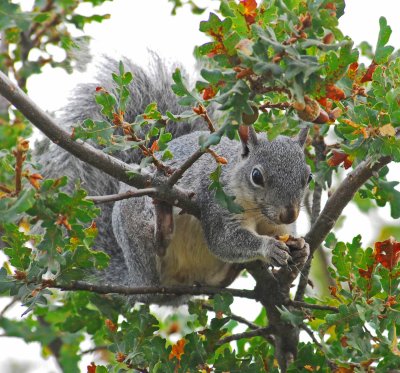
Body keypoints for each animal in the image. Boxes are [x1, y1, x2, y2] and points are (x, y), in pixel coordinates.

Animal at [36, 57, 310, 302]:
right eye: (256, 176)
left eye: (308, 177)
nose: (289, 214)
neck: (257, 211)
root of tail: (135, 281)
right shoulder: (216, 202)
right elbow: (224, 240)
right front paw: (268, 247)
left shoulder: (277, 227)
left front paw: (302, 248)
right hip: (135, 228)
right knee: (155, 255)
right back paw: (163, 222)